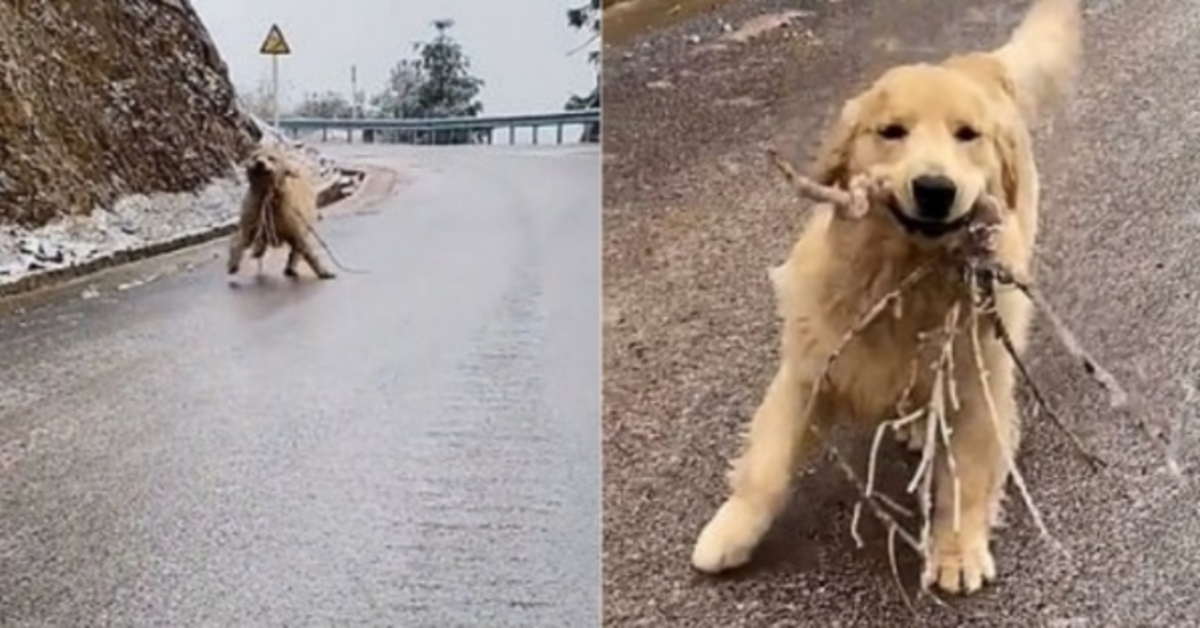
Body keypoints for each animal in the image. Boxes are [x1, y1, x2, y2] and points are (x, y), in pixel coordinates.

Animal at [225, 147, 336, 279]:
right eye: (255, 157)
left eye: (271, 158)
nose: (259, 163)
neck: (268, 197)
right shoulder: (249, 223)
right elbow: (238, 242)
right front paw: (233, 263)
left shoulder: (296, 231)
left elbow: (308, 252)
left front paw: (322, 271)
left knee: (297, 250)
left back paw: (291, 266)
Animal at [691, 0, 1084, 595]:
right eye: (891, 131)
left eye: (967, 135)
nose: (935, 189)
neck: (906, 276)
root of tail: (976, 63)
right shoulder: (807, 369)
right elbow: (766, 465)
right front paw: (730, 530)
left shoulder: (981, 382)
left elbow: (967, 477)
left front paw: (957, 550)